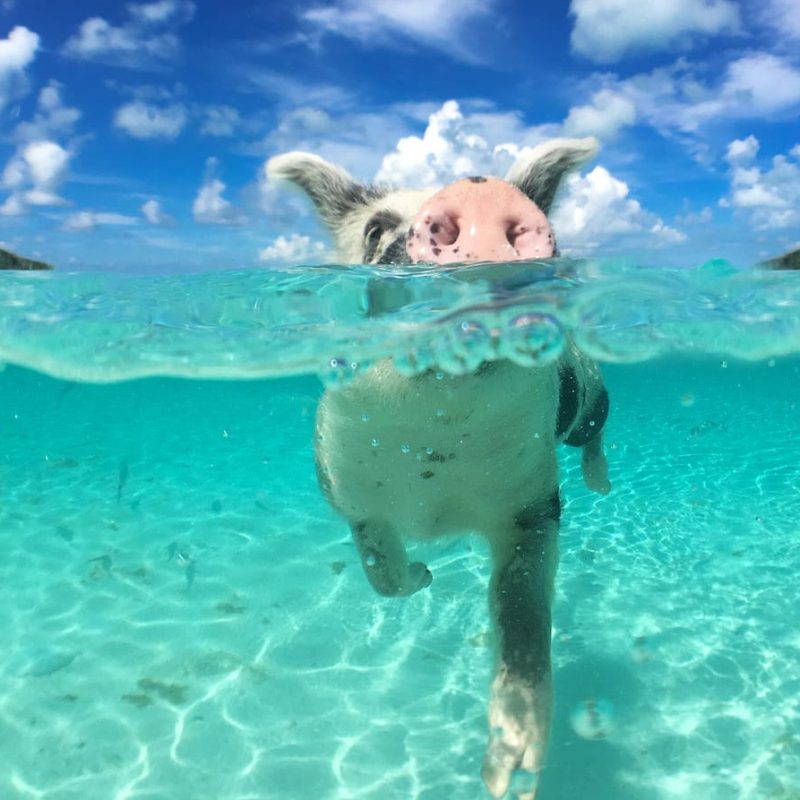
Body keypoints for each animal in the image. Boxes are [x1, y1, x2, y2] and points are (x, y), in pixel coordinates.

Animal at [268, 137, 610, 799]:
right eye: (375, 231)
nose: (478, 194)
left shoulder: (534, 504)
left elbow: (522, 607)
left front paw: (512, 773)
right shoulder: (348, 489)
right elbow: (379, 569)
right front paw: (424, 575)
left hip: (586, 395)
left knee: (593, 432)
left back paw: (600, 481)